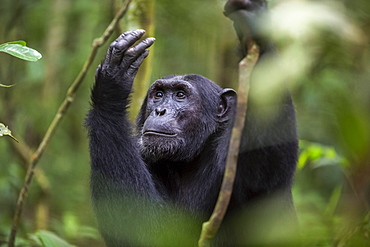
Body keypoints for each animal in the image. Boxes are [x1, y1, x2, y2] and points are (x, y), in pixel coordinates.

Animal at [85, 0, 300, 247]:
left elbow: (261, 171)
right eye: (158, 94)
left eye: (180, 95)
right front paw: (111, 85)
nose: (160, 110)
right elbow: (146, 229)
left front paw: (255, 23)